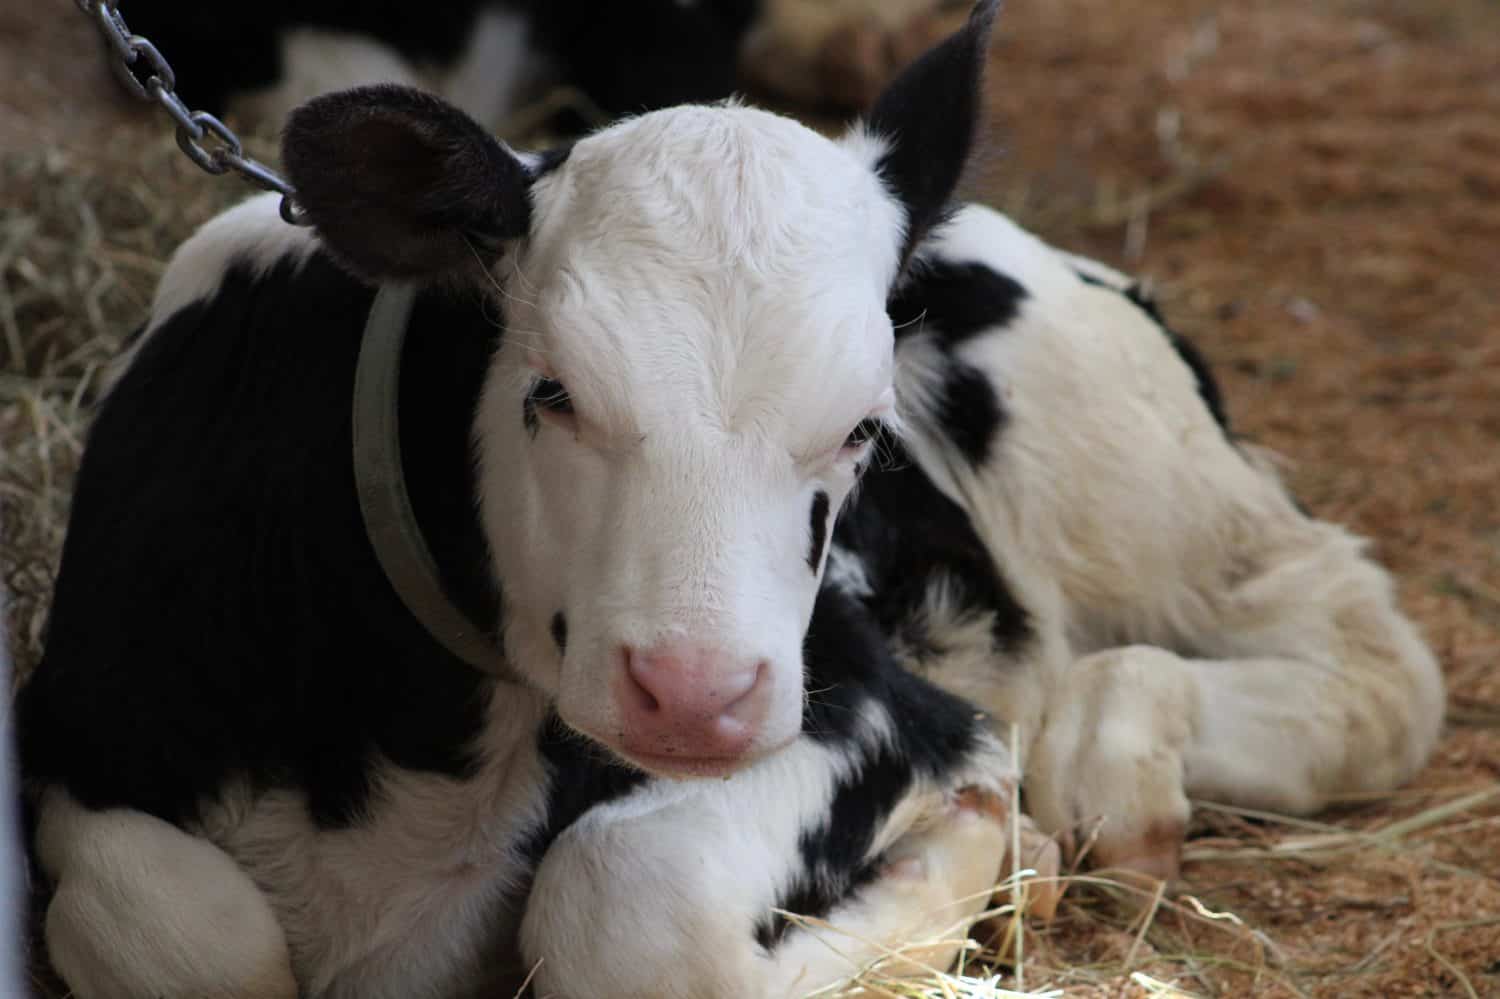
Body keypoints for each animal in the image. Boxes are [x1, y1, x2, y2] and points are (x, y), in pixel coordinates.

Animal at [17, 1, 1444, 997]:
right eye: (549, 390)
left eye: (863, 426)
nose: (694, 694)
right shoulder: (84, 734)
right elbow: (189, 933)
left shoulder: (871, 706)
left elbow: (622, 902)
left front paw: (966, 867)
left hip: (1131, 479)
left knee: (1361, 644)